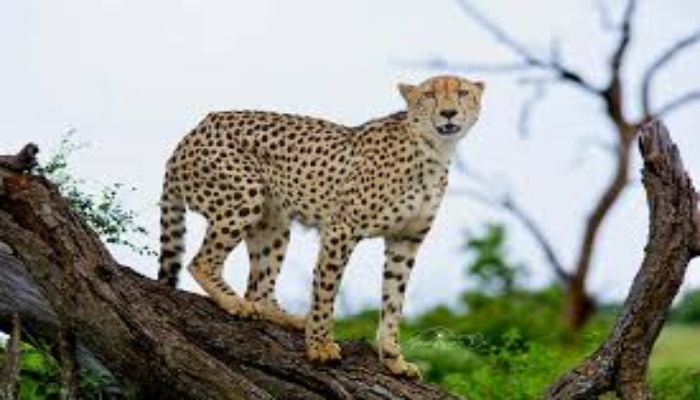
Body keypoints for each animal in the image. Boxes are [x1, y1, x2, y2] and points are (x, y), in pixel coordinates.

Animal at [158, 75, 484, 378]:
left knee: (258, 290)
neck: (433, 149)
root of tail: (193, 132)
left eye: (462, 92)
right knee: (201, 262)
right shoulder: (341, 229)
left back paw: (286, 316)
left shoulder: (406, 241)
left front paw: (393, 358)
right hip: (245, 196)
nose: (449, 113)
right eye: (429, 95)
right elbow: (326, 289)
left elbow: (393, 301)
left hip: (274, 222)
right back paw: (234, 302)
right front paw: (320, 346)